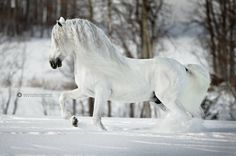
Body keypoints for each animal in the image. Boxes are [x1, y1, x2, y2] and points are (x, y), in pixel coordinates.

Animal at [48, 16, 209, 129]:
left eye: (57, 40)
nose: (52, 63)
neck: (95, 63)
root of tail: (184, 68)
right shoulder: (85, 91)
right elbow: (63, 96)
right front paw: (72, 120)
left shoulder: (101, 93)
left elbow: (96, 120)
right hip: (163, 101)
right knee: (194, 116)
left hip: (170, 100)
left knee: (187, 117)